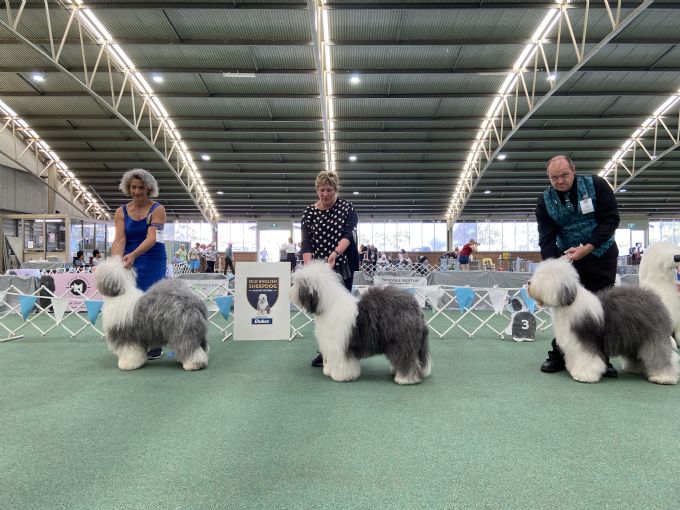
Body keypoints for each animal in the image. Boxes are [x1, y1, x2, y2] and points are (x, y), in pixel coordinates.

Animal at [290, 261, 431, 384]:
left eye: (300, 282)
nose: (290, 289)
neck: (329, 306)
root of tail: (415, 307)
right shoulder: (330, 345)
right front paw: (329, 371)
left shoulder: (340, 345)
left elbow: (342, 362)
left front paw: (341, 376)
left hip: (402, 342)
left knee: (407, 359)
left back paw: (405, 379)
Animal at [528, 257, 679, 384]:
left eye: (542, 277)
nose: (529, 283)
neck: (569, 302)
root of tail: (655, 298)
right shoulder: (574, 341)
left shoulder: (585, 340)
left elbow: (587, 358)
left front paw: (584, 375)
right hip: (634, 337)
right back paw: (635, 369)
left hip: (652, 336)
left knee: (661, 355)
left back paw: (663, 377)